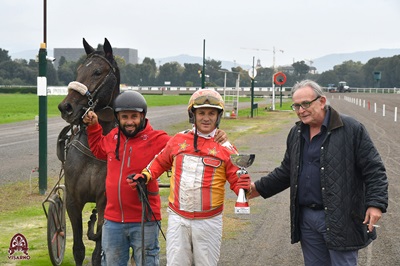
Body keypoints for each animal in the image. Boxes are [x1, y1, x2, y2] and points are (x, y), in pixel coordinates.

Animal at [57, 38, 119, 266]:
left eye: (98, 71)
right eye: (78, 70)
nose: (66, 107)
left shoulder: (105, 201)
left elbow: (99, 250)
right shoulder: (73, 201)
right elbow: (78, 249)